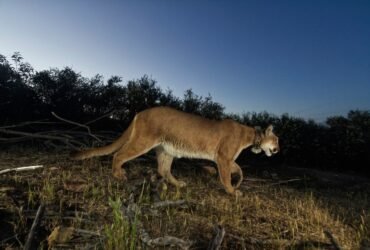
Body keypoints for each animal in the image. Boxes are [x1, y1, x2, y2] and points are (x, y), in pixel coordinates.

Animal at [69, 106, 278, 194]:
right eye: (276, 139)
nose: (278, 149)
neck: (251, 135)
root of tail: (140, 112)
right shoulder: (223, 157)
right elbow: (226, 176)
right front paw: (232, 191)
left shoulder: (226, 159)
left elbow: (239, 169)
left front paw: (238, 183)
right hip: (143, 141)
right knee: (119, 154)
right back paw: (118, 174)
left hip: (166, 149)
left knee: (163, 169)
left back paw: (178, 184)